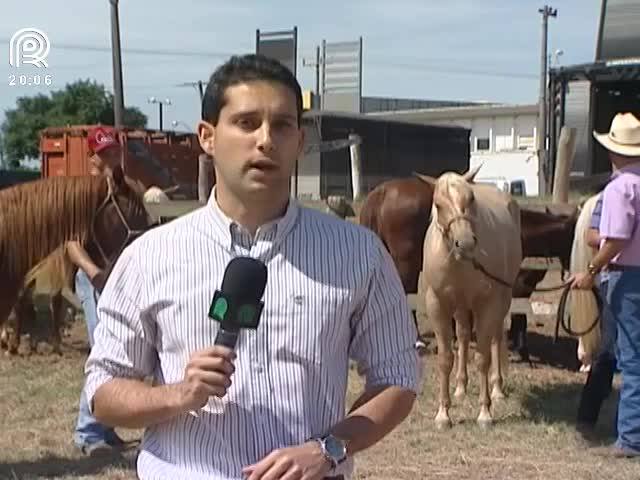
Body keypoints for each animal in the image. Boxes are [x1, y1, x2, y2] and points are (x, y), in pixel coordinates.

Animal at [418, 167, 524, 430]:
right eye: (438, 205)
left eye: (471, 199)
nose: (465, 244)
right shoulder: (438, 305)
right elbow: (446, 358)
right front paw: (443, 414)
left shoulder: (488, 303)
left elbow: (482, 358)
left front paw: (485, 413)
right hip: (461, 306)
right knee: (464, 336)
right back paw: (460, 387)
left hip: (502, 299)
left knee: (497, 337)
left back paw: (497, 389)